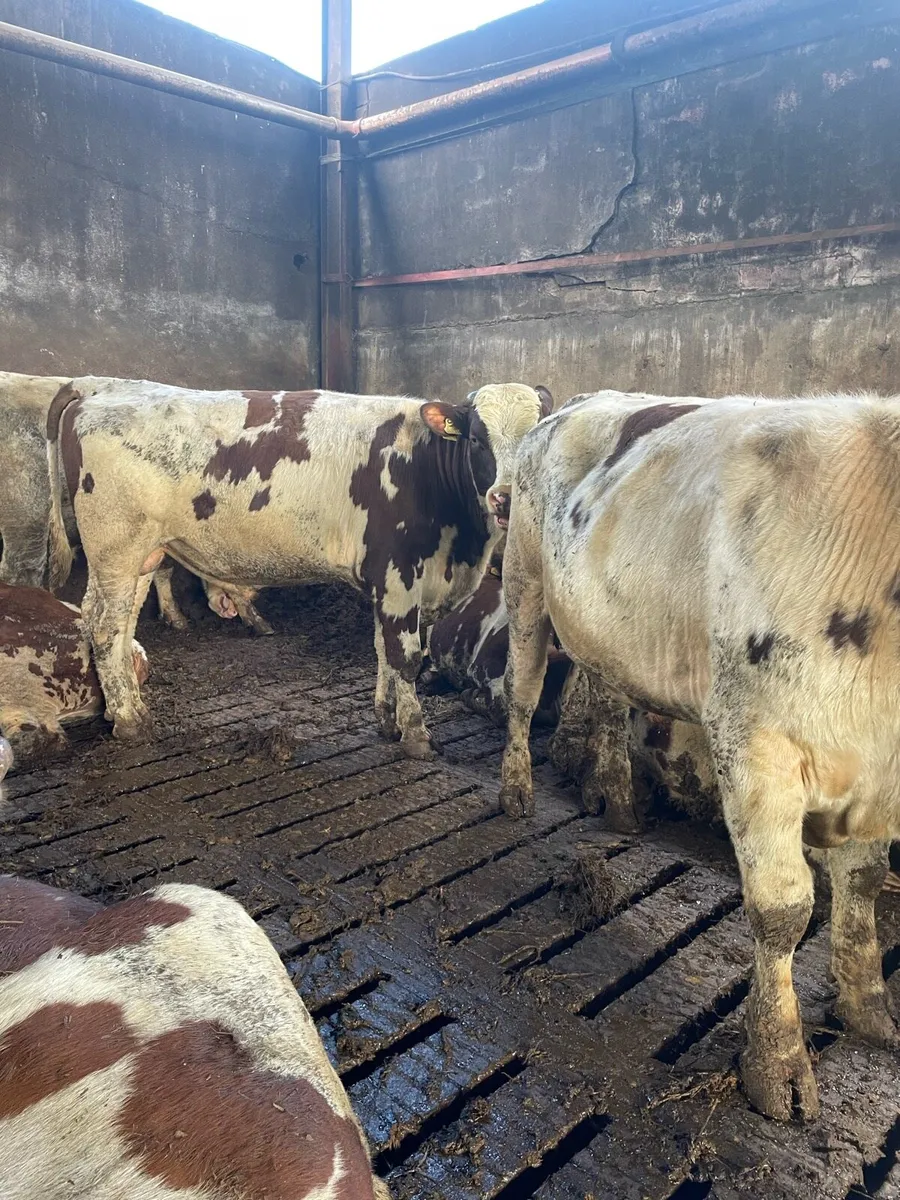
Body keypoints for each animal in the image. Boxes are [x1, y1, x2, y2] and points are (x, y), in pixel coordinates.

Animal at [47, 379, 553, 754]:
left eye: (536, 438)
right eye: (476, 438)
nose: (505, 498)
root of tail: (98, 392)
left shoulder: (389, 581)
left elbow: (382, 649)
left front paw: (387, 719)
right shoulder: (398, 573)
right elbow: (405, 656)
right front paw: (415, 734)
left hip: (142, 556)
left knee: (120, 623)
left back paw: (125, 708)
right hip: (116, 549)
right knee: (105, 626)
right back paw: (130, 721)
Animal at [499, 388, 900, 1122]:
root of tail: (579, 401)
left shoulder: (877, 769)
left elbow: (861, 882)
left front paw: (868, 1012)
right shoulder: (753, 737)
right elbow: (784, 909)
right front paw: (777, 1065)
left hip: (609, 628)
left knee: (607, 700)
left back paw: (620, 804)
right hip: (523, 578)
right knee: (523, 686)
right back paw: (515, 791)